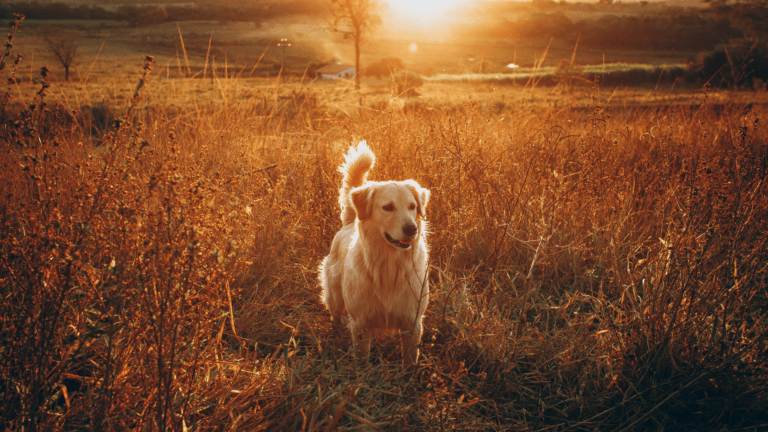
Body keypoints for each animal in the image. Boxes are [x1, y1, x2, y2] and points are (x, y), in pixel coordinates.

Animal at [320, 141, 432, 368]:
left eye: (412, 206)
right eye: (387, 207)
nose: (412, 229)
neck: (390, 265)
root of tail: (349, 222)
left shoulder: (412, 322)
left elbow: (409, 360)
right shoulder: (361, 324)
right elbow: (362, 359)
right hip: (335, 296)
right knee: (335, 316)